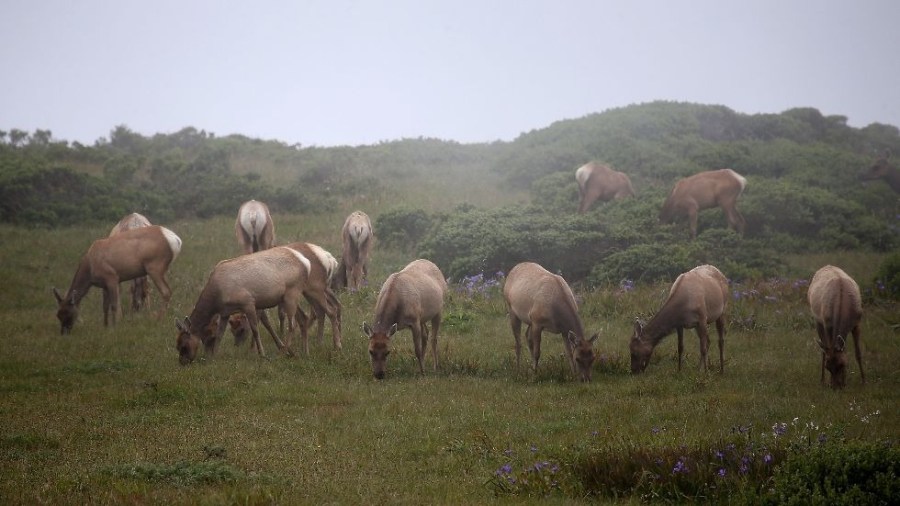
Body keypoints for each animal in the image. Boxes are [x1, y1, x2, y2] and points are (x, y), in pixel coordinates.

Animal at [53, 226, 182, 336]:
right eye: (58, 314)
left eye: (68, 313)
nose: (64, 333)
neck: (90, 268)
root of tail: (176, 240)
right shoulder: (104, 284)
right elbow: (105, 306)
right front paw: (105, 326)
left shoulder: (112, 277)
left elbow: (114, 305)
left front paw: (116, 327)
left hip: (154, 266)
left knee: (166, 291)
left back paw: (158, 320)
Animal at [174, 245, 312, 364]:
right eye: (176, 345)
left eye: (184, 346)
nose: (183, 362)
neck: (218, 296)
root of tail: (307, 263)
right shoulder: (225, 312)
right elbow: (220, 334)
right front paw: (214, 356)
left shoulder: (248, 302)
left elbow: (255, 329)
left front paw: (262, 354)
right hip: (288, 297)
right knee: (301, 319)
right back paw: (298, 352)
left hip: (292, 293)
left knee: (292, 325)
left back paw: (282, 353)